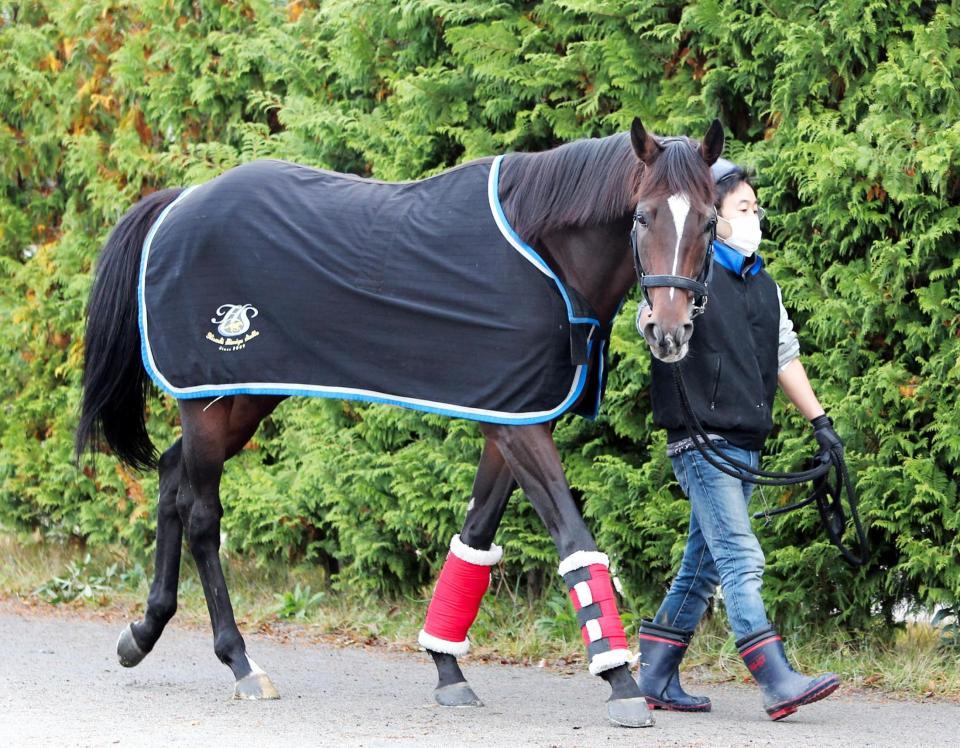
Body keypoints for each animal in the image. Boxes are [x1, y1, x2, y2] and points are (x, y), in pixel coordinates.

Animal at [77, 118, 720, 732]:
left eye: (710, 221)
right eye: (642, 216)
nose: (669, 332)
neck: (543, 252)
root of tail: (182, 200)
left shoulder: (509, 417)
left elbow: (475, 538)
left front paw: (448, 670)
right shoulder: (519, 427)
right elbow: (573, 539)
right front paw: (621, 683)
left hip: (244, 397)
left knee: (170, 479)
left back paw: (143, 632)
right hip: (209, 400)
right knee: (202, 516)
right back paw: (239, 662)